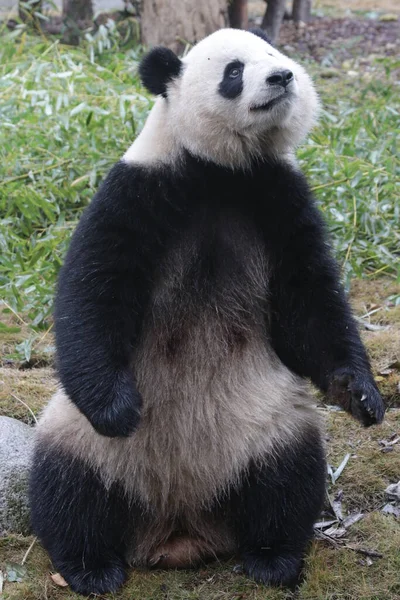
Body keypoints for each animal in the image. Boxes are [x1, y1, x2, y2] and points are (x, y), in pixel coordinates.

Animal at [28, 27, 384, 596]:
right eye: (234, 71)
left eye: (276, 55)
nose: (282, 77)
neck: (224, 170)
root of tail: (179, 530)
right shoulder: (141, 189)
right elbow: (94, 293)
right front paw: (117, 409)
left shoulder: (279, 198)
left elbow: (310, 303)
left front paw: (361, 395)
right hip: (80, 439)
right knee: (68, 491)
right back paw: (91, 566)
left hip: (265, 425)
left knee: (288, 479)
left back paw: (273, 558)